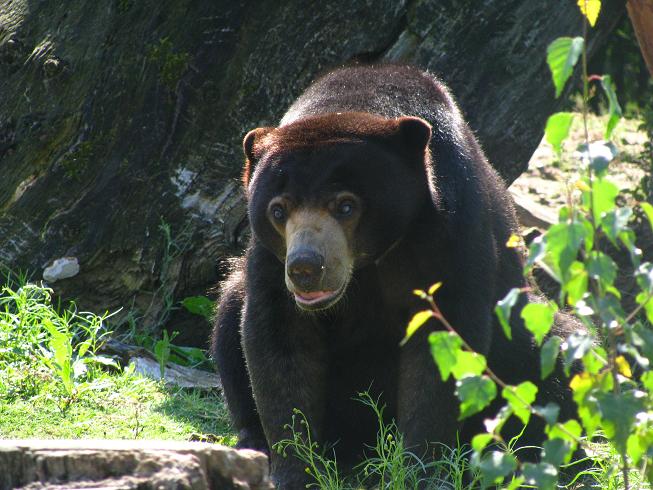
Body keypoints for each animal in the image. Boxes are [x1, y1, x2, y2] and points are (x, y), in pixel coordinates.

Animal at [211, 64, 580, 489]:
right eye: (278, 210)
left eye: (345, 205)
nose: (306, 268)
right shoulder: (271, 260)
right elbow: (278, 339)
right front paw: (294, 469)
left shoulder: (450, 226)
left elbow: (443, 344)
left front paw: (421, 469)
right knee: (229, 313)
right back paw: (253, 443)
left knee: (557, 350)